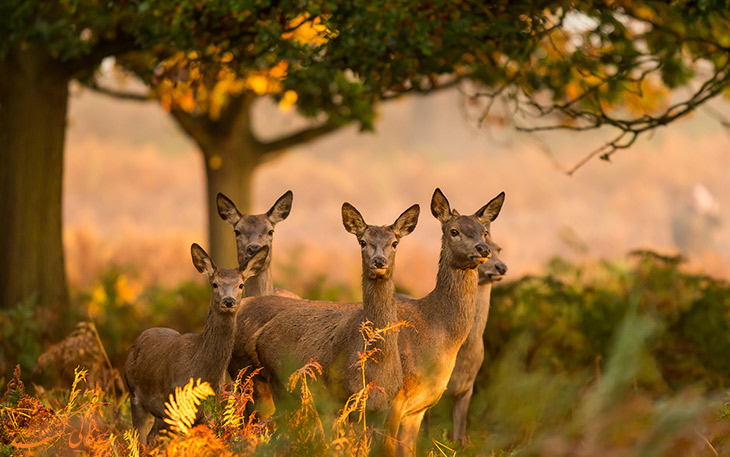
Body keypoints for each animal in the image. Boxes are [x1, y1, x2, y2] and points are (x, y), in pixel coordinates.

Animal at [123, 244, 268, 444]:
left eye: (241, 284)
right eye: (214, 284)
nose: (228, 301)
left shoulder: (207, 414)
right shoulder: (177, 407)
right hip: (134, 394)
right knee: (140, 440)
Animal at [228, 201, 420, 412]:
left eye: (395, 242)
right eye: (362, 241)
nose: (379, 261)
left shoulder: (384, 404)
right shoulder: (340, 395)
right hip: (273, 382)